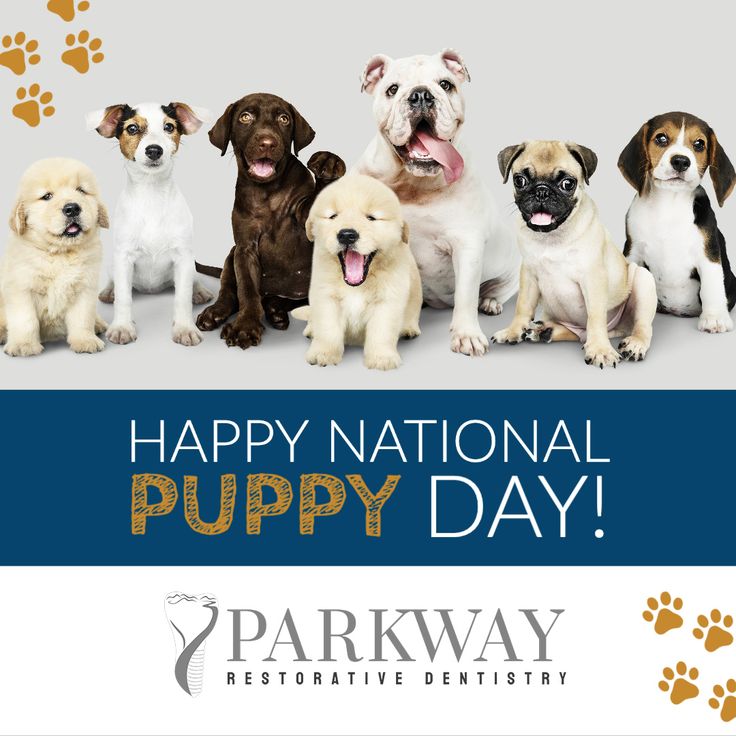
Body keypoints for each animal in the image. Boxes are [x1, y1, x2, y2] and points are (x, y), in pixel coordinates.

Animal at [0, 158, 109, 356]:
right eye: (47, 196)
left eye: (81, 190)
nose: (72, 208)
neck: (60, 254)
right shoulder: (21, 288)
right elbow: (25, 320)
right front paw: (23, 345)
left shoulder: (84, 288)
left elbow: (82, 318)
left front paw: (85, 340)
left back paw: (98, 324)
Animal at [292, 175, 420, 370]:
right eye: (333, 216)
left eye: (371, 218)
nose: (346, 235)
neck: (356, 285)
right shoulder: (326, 296)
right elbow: (327, 329)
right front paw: (324, 353)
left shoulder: (388, 299)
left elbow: (382, 331)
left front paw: (381, 358)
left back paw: (409, 329)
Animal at [494, 140, 656, 368]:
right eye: (520, 180)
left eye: (567, 184)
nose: (542, 191)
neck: (552, 237)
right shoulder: (528, 274)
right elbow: (522, 306)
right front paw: (513, 331)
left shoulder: (593, 278)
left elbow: (595, 317)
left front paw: (600, 350)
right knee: (576, 332)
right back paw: (544, 331)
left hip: (643, 279)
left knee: (641, 325)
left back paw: (634, 344)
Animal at [616, 112, 736, 334]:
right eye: (661, 138)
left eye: (699, 144)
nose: (680, 161)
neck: (669, 203)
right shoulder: (633, 250)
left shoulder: (708, 253)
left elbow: (712, 285)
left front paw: (714, 318)